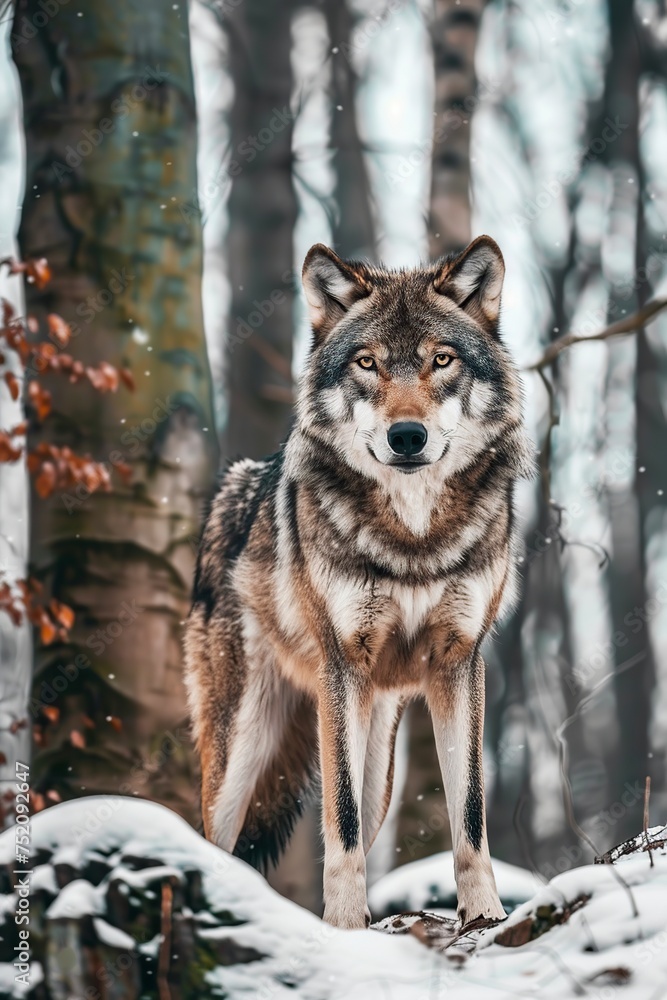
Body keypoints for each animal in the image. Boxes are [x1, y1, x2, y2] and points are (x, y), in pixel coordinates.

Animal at [184, 235, 533, 930]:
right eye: (367, 363)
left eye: (441, 360)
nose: (407, 435)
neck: (414, 539)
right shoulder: (342, 663)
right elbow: (337, 819)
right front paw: (345, 927)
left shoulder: (461, 661)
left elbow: (470, 813)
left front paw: (484, 915)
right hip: (241, 748)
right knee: (215, 839)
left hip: (379, 764)